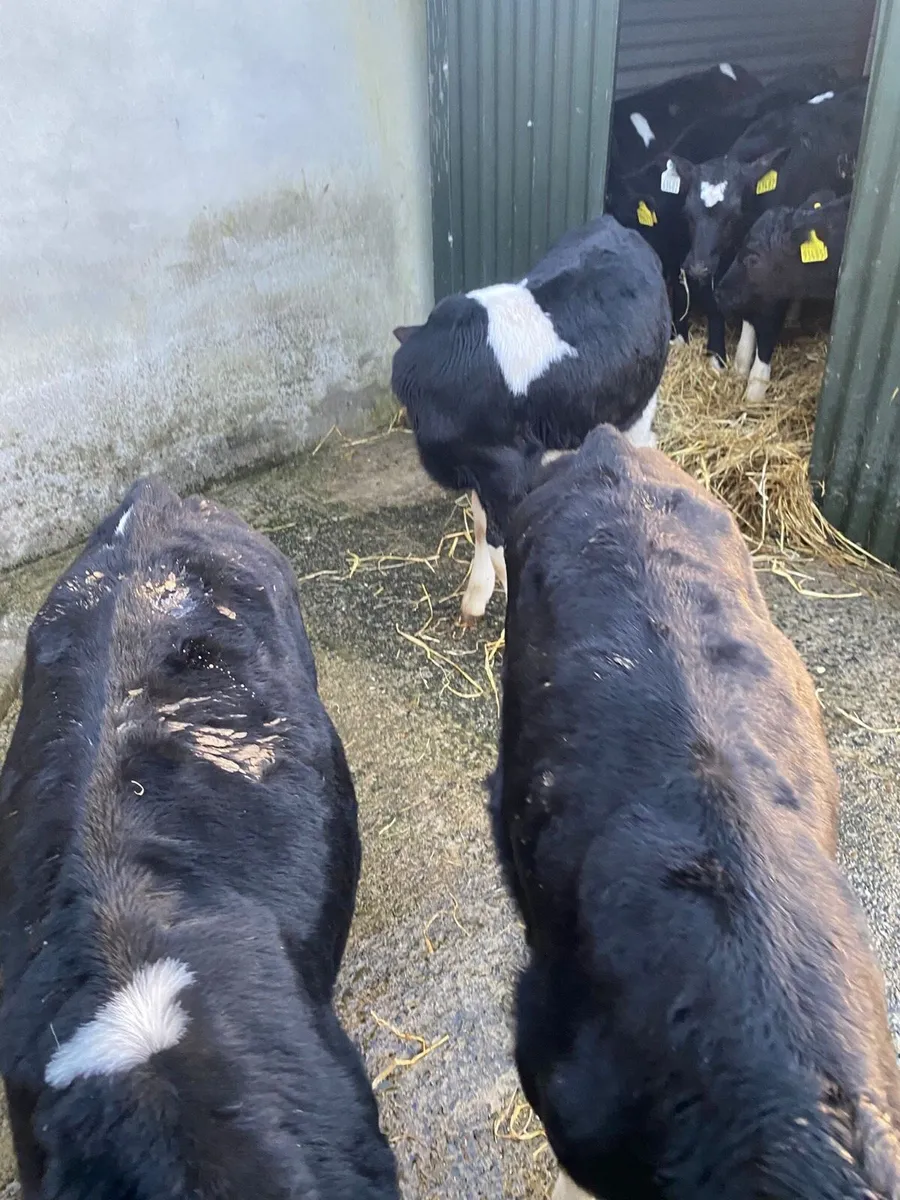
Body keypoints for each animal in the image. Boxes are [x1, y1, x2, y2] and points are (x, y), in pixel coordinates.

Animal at [391, 215, 670, 624]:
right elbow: (481, 527)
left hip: (638, 406)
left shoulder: (505, 473)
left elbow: (502, 542)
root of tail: (617, 225)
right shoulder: (484, 474)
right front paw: (476, 598)